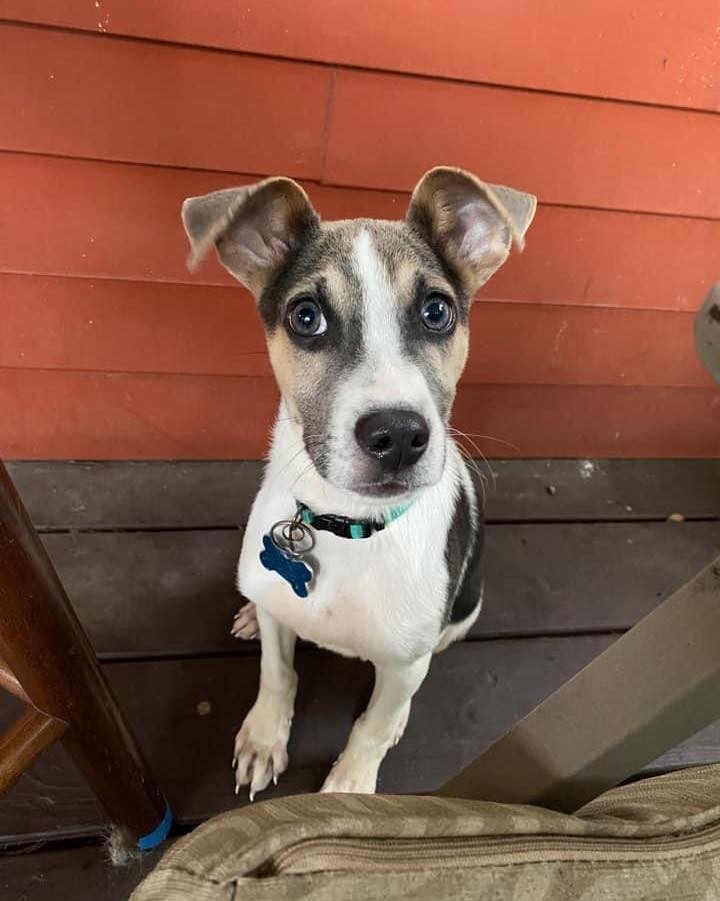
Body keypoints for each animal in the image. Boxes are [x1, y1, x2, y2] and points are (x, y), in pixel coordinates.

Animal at [181, 167, 536, 796]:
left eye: (437, 311)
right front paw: (264, 738)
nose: (397, 435)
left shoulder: (406, 659)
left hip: (463, 611)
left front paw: (348, 789)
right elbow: (277, 673)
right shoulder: (280, 620)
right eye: (306, 317)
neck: (345, 522)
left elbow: (371, 724)